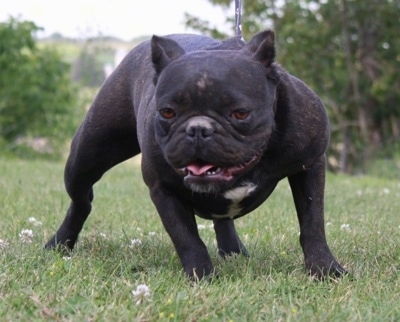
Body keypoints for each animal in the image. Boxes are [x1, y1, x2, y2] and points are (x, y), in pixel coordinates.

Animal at [45, 30, 346, 280]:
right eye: (167, 112)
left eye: (240, 113)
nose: (198, 128)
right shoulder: (163, 188)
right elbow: (186, 237)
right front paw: (202, 276)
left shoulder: (309, 165)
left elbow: (312, 222)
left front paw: (325, 269)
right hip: (86, 157)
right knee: (82, 201)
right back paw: (59, 243)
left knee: (223, 219)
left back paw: (233, 251)